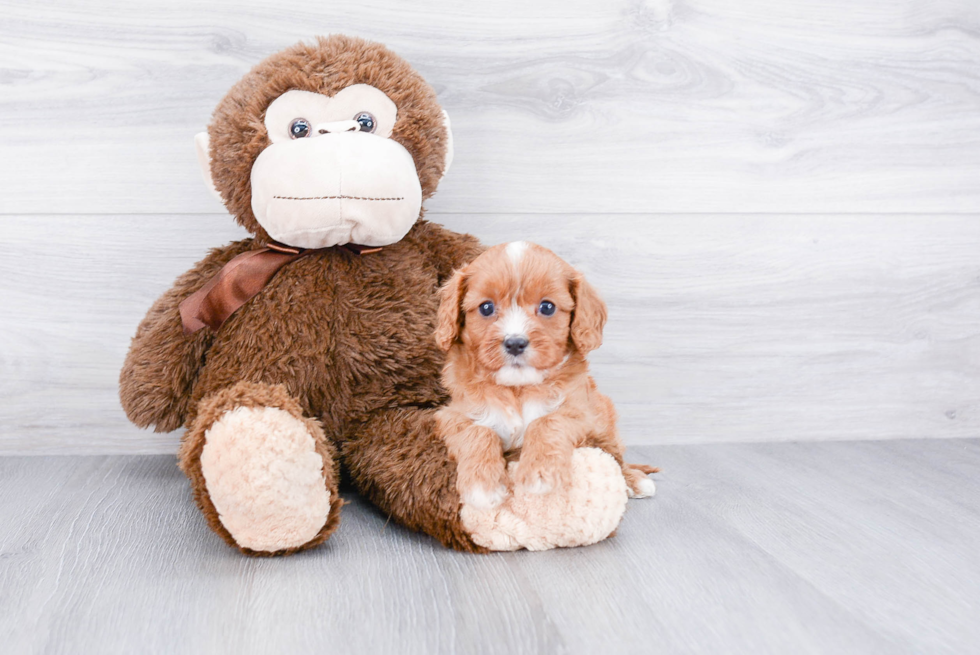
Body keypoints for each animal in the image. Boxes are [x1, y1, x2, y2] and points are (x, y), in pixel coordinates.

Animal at [436, 243, 660, 510]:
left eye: (547, 307)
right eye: (486, 307)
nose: (515, 343)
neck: (518, 389)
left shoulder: (579, 411)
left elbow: (546, 421)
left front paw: (539, 474)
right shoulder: (451, 415)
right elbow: (479, 431)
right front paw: (482, 485)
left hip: (604, 418)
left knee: (614, 454)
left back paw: (634, 480)